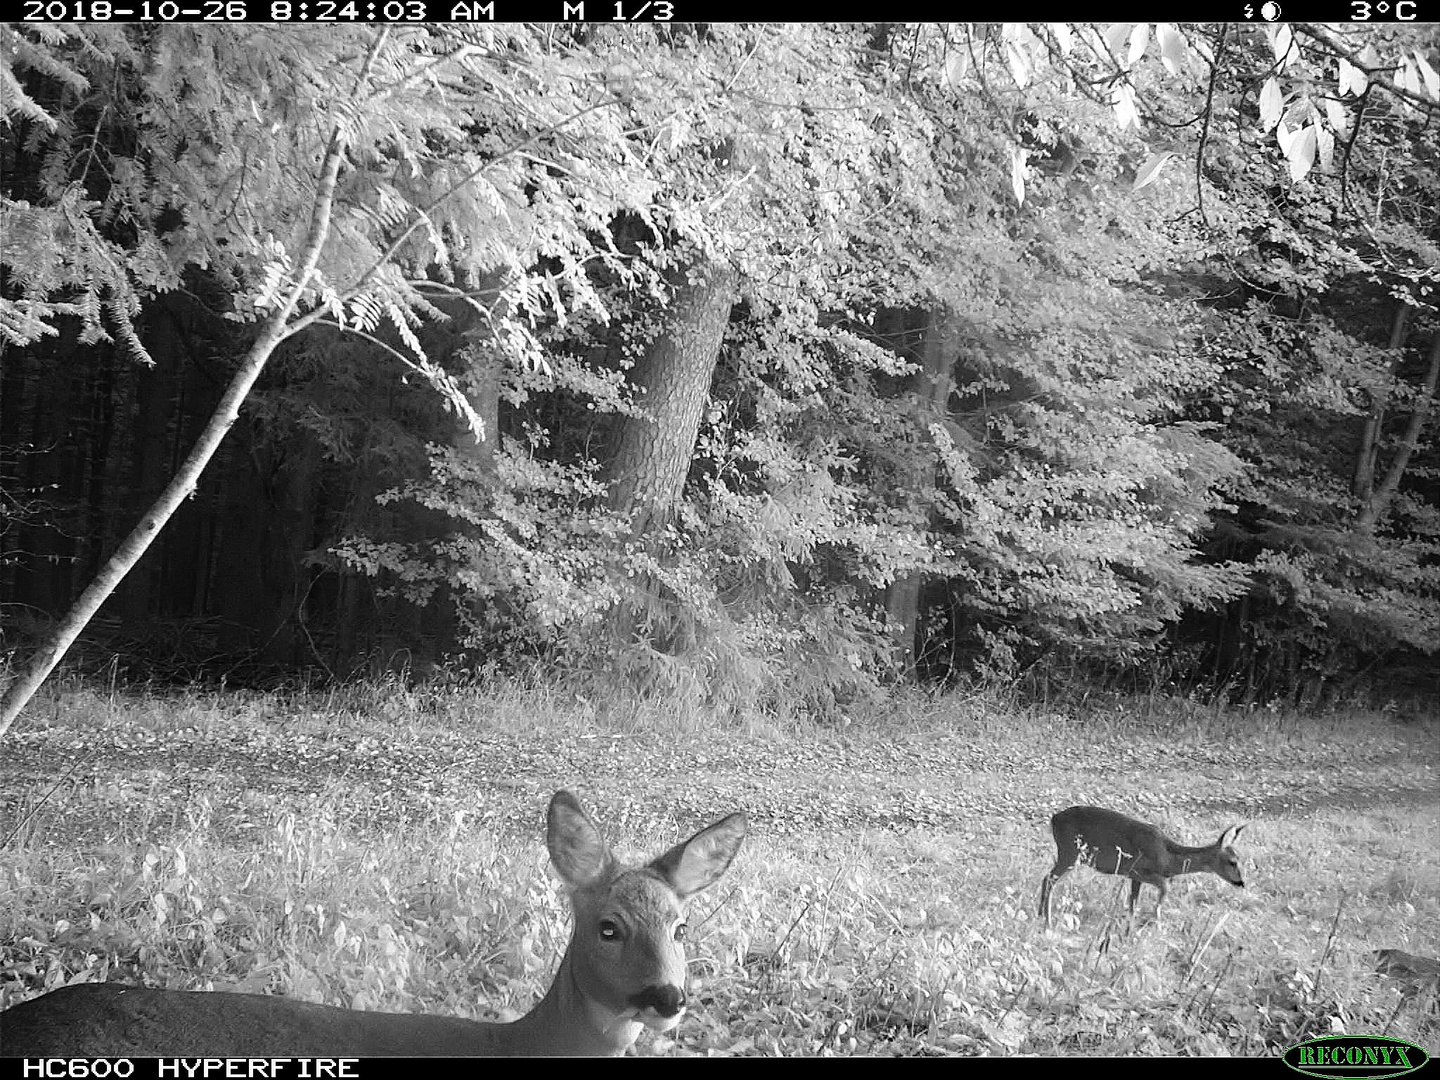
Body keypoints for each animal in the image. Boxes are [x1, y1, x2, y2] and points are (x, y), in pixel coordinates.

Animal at [1036, 806, 1249, 933]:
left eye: (1239, 859)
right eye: (1232, 862)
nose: (1241, 882)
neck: (1168, 856)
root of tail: (1054, 819)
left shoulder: (1134, 878)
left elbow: (1133, 903)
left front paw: (1128, 931)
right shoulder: (1137, 870)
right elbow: (1165, 888)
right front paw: (1154, 922)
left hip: (1071, 854)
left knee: (1047, 879)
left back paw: (1041, 917)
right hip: (1070, 852)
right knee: (1049, 879)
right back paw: (1047, 922)